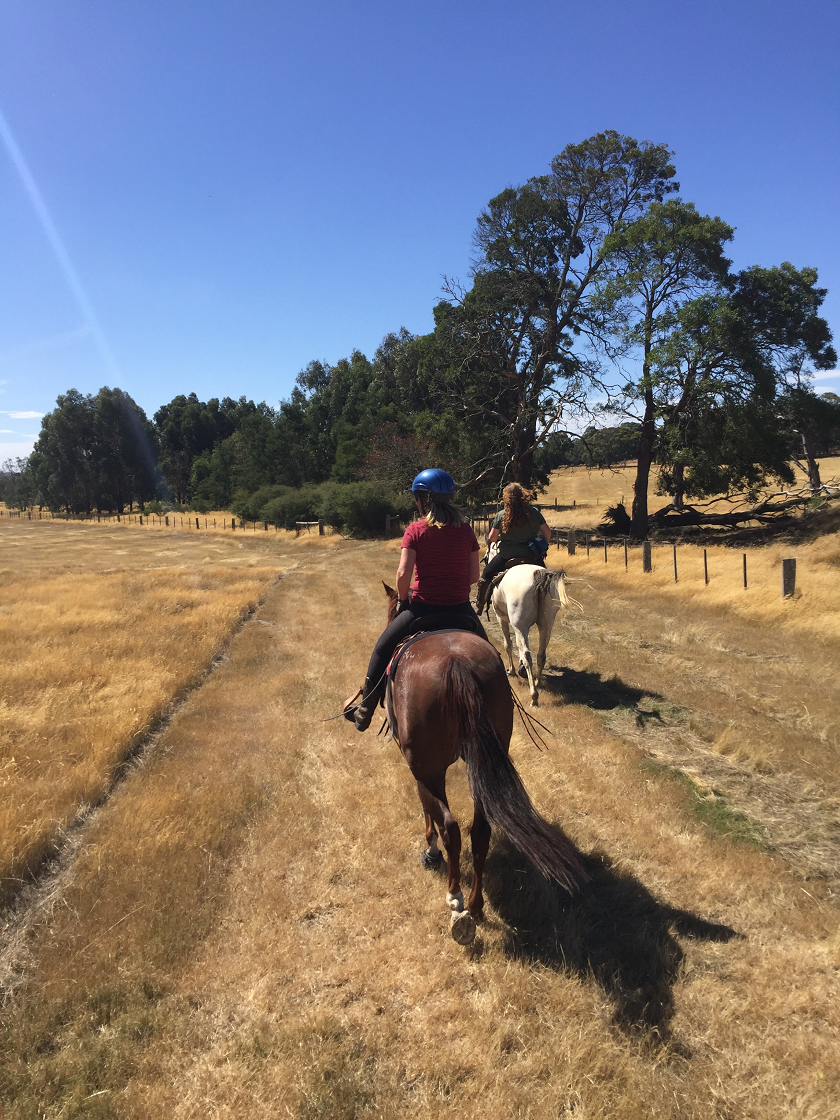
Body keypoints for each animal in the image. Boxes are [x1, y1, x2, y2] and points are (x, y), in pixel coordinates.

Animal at [385, 586, 586, 945]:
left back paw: (456, 901)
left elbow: (427, 811)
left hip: (429, 766)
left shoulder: (420, 769)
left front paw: (430, 851)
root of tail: (456, 662)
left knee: (450, 826)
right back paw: (476, 906)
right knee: (481, 829)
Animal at [490, 564, 577, 703]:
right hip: (546, 624)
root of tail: (539, 574)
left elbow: (508, 645)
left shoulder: (502, 619)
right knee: (541, 655)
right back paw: (537, 683)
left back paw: (534, 696)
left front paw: (512, 671)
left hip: (520, 627)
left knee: (527, 655)